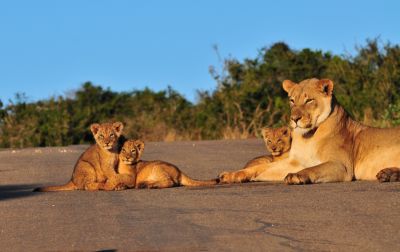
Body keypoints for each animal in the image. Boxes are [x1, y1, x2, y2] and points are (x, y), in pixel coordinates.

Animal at [219, 78, 400, 184]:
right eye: (292, 100)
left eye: (309, 100)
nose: (295, 119)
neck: (307, 137)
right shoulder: (294, 162)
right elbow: (260, 168)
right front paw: (231, 175)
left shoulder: (342, 166)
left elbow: (314, 168)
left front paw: (296, 176)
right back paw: (387, 174)